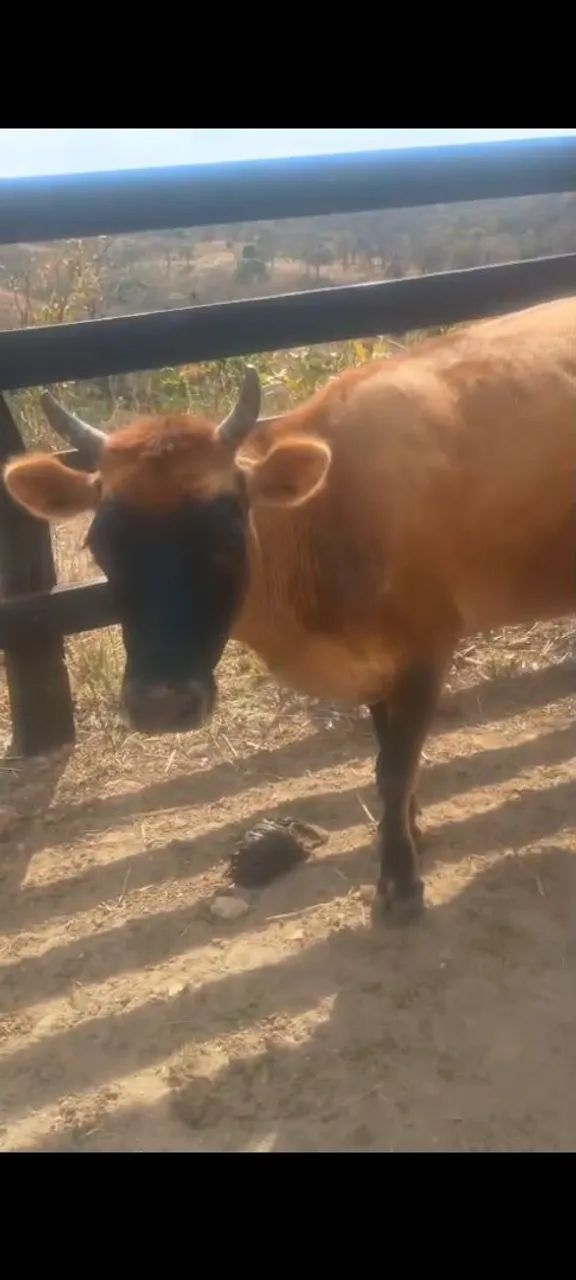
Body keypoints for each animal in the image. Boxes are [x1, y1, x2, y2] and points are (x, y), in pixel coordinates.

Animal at [4, 294, 576, 922]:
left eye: (228, 534)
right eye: (100, 543)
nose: (160, 704)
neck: (330, 512)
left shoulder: (428, 648)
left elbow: (394, 770)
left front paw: (399, 883)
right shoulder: (376, 665)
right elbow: (388, 757)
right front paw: (409, 831)